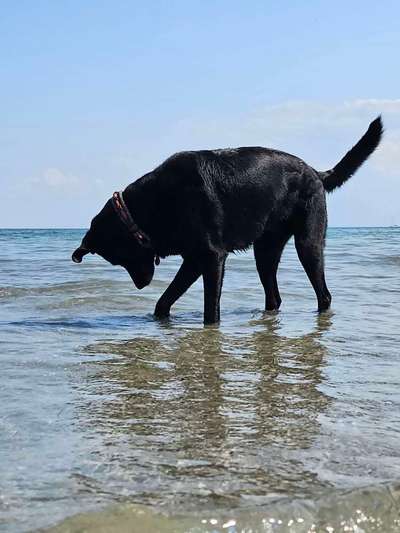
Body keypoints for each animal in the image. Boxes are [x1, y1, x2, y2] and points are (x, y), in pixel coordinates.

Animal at [73, 118, 382, 322]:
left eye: (118, 259)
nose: (141, 285)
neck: (151, 206)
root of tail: (317, 172)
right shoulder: (194, 259)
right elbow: (166, 299)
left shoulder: (211, 257)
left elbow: (211, 309)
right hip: (265, 250)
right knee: (274, 296)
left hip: (309, 243)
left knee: (323, 294)